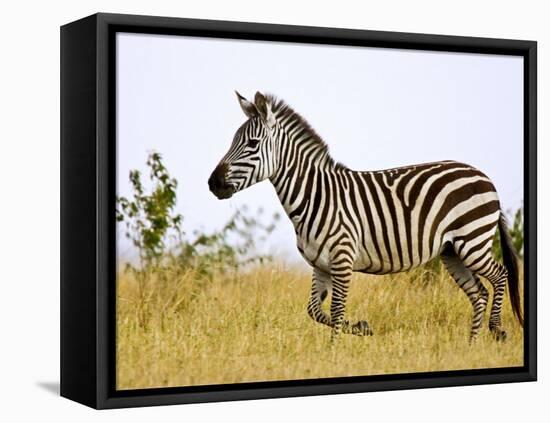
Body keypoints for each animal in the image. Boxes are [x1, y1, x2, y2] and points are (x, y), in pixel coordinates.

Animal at [209, 91, 524, 342]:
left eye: (251, 144)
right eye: (233, 141)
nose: (213, 183)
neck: (315, 195)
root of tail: (483, 175)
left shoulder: (342, 259)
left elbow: (336, 310)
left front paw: (333, 352)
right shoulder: (320, 265)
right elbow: (314, 311)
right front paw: (361, 328)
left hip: (472, 240)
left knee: (500, 275)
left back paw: (497, 329)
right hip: (452, 252)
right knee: (479, 293)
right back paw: (472, 345)